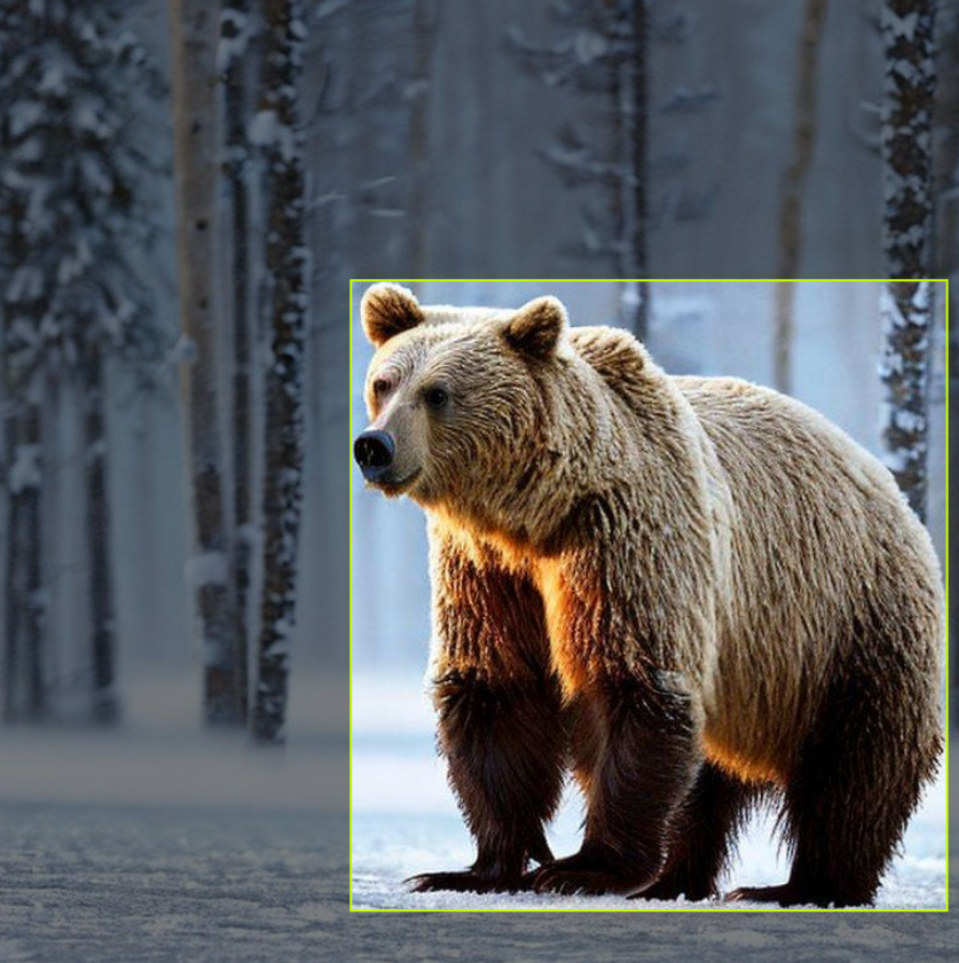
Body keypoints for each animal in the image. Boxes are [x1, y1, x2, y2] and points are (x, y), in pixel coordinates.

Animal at [352, 282, 944, 907]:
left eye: (437, 392)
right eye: (384, 383)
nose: (374, 446)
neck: (534, 518)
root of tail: (886, 483)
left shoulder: (625, 541)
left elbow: (633, 683)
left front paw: (583, 868)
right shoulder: (486, 570)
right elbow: (496, 689)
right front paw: (474, 868)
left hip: (846, 624)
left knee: (855, 768)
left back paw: (803, 885)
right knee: (707, 780)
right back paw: (675, 879)